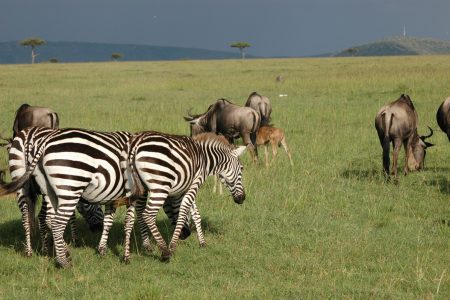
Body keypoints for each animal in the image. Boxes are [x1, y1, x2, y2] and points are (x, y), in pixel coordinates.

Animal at [0, 126, 134, 268]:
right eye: (95, 206)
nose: (97, 228)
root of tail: (28, 138)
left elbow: (109, 220)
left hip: (21, 182)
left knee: (27, 217)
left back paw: (31, 251)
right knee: (49, 218)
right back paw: (59, 253)